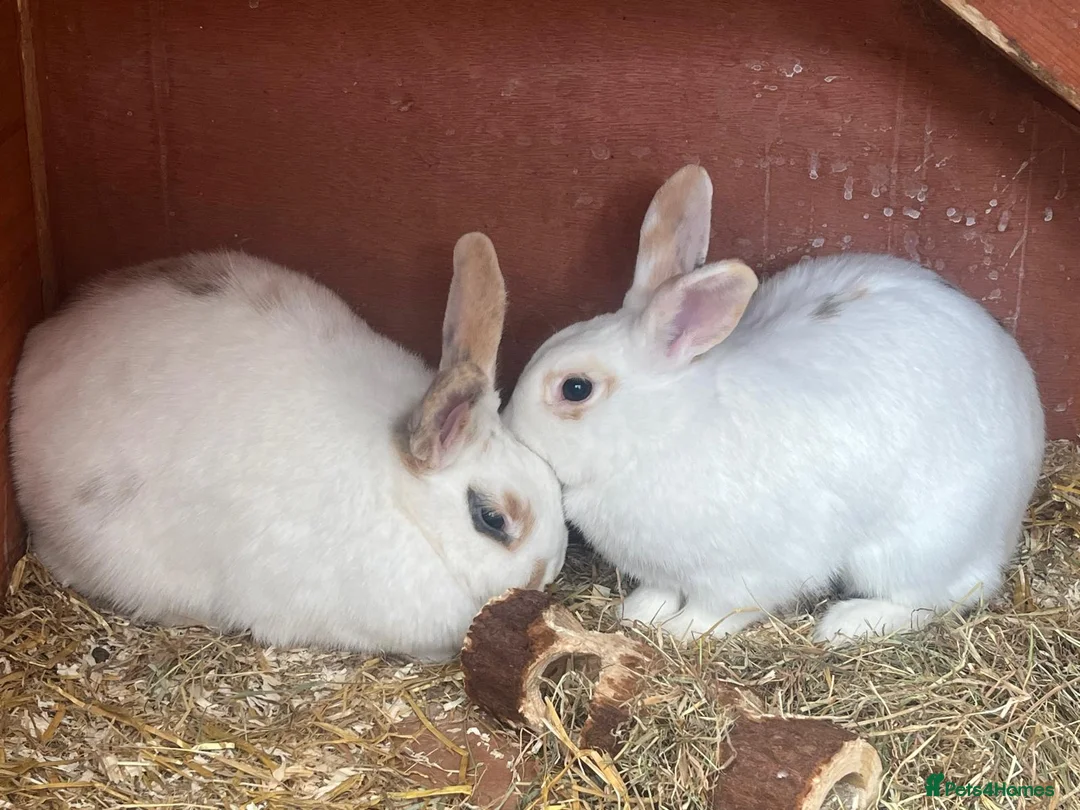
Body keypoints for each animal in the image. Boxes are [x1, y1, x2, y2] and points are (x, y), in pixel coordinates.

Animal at [503, 165, 1045, 646]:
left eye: (576, 389)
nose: (507, 426)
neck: (664, 432)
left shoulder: (746, 573)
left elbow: (717, 611)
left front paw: (681, 632)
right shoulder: (664, 570)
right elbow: (659, 592)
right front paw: (638, 614)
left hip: (915, 547)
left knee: (945, 594)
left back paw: (846, 624)